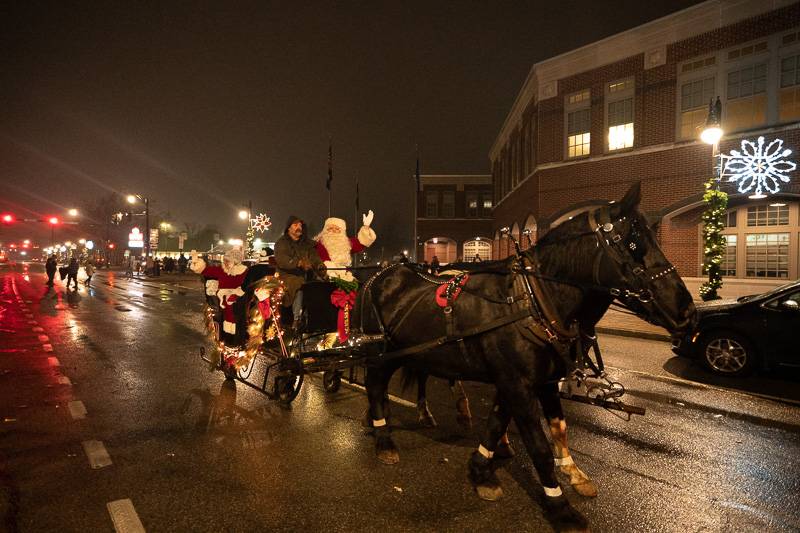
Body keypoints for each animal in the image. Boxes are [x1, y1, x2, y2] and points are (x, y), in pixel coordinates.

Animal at [360, 183, 696, 528]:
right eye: (632, 242)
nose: (687, 311)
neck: (532, 301)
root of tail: (383, 275)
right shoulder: (517, 383)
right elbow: (538, 444)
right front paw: (560, 506)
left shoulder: (536, 381)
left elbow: (527, 425)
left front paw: (483, 470)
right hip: (381, 352)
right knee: (374, 385)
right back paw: (384, 438)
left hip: (408, 353)